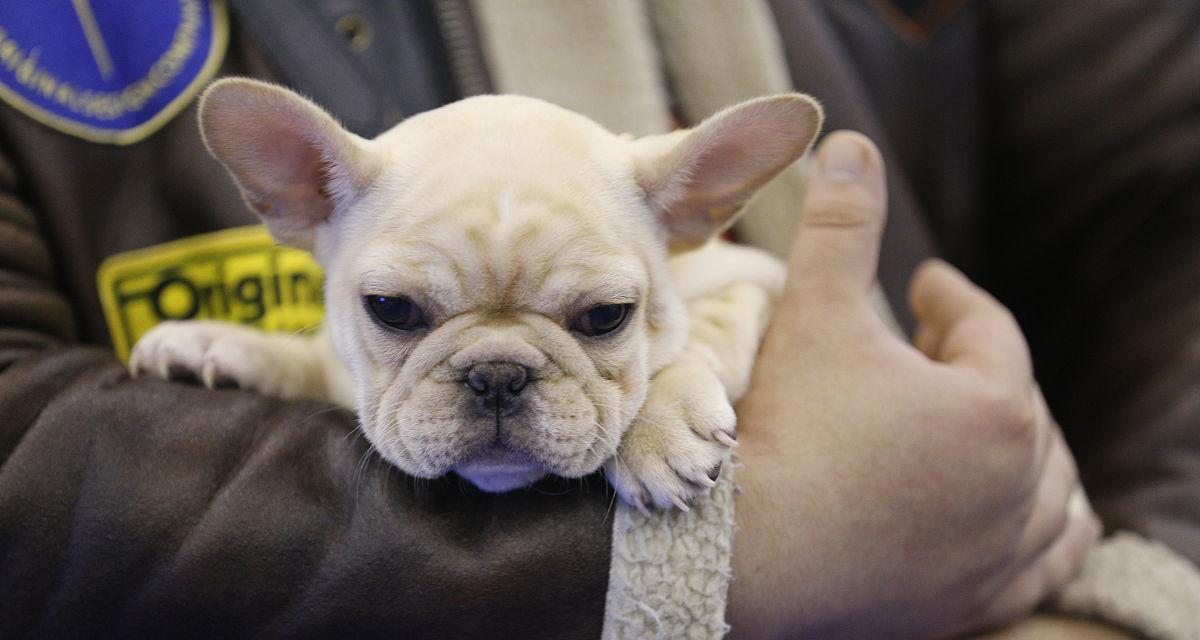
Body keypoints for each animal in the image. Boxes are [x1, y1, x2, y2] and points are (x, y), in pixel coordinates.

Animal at [133, 77, 825, 511]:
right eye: (391, 309)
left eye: (606, 317)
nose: (497, 374)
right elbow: (305, 359)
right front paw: (216, 342)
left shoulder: (757, 278)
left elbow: (704, 330)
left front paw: (660, 425)